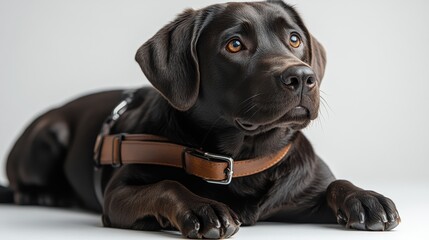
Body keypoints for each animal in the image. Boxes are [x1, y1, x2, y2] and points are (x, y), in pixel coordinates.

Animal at [1, 0, 400, 239]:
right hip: (47, 135)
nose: (301, 77)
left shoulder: (301, 192)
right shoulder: (118, 194)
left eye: (294, 39)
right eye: (234, 44)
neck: (243, 159)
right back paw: (44, 195)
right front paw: (203, 208)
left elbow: (336, 183)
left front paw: (366, 198)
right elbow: (167, 185)